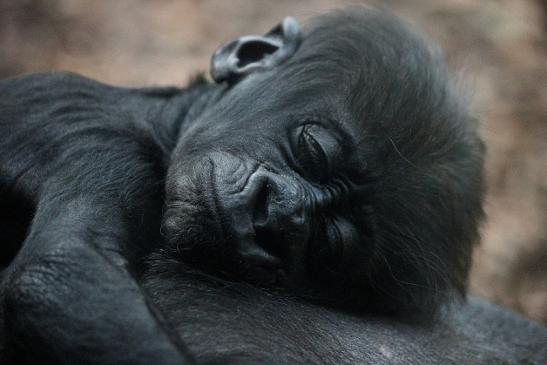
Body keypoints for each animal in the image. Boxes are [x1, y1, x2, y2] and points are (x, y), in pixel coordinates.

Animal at [1, 5, 547, 364]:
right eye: (314, 149)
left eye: (329, 241)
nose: (276, 214)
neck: (161, 126)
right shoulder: (100, 146)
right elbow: (60, 274)